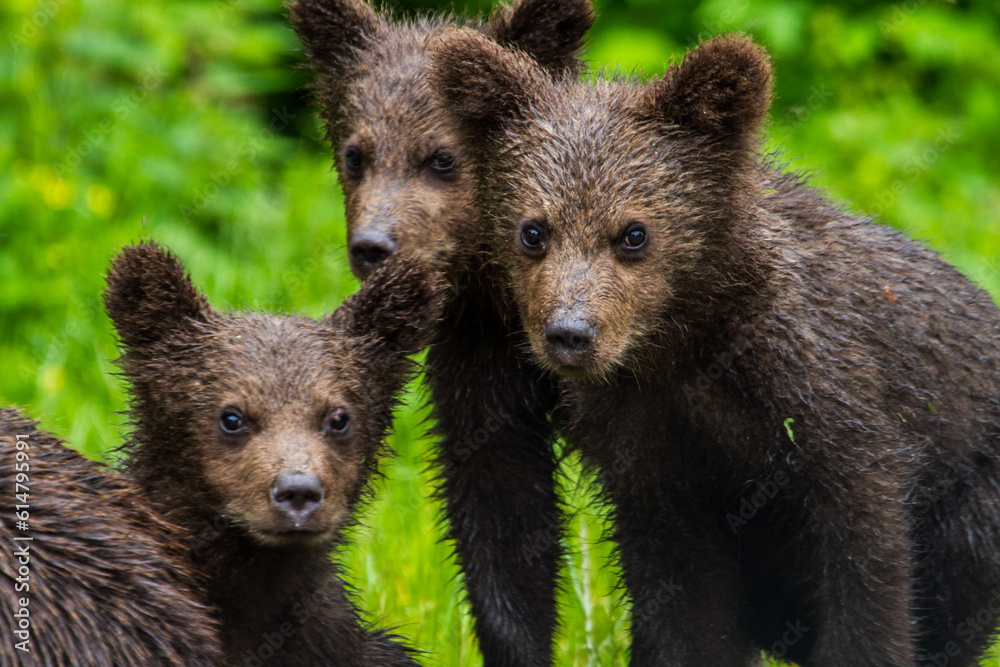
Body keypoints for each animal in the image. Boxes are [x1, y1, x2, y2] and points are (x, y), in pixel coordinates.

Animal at [428, 30, 1000, 666]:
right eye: (533, 230)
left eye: (634, 232)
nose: (571, 333)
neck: (687, 345)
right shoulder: (653, 454)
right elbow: (685, 602)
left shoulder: (830, 402)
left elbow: (869, 572)